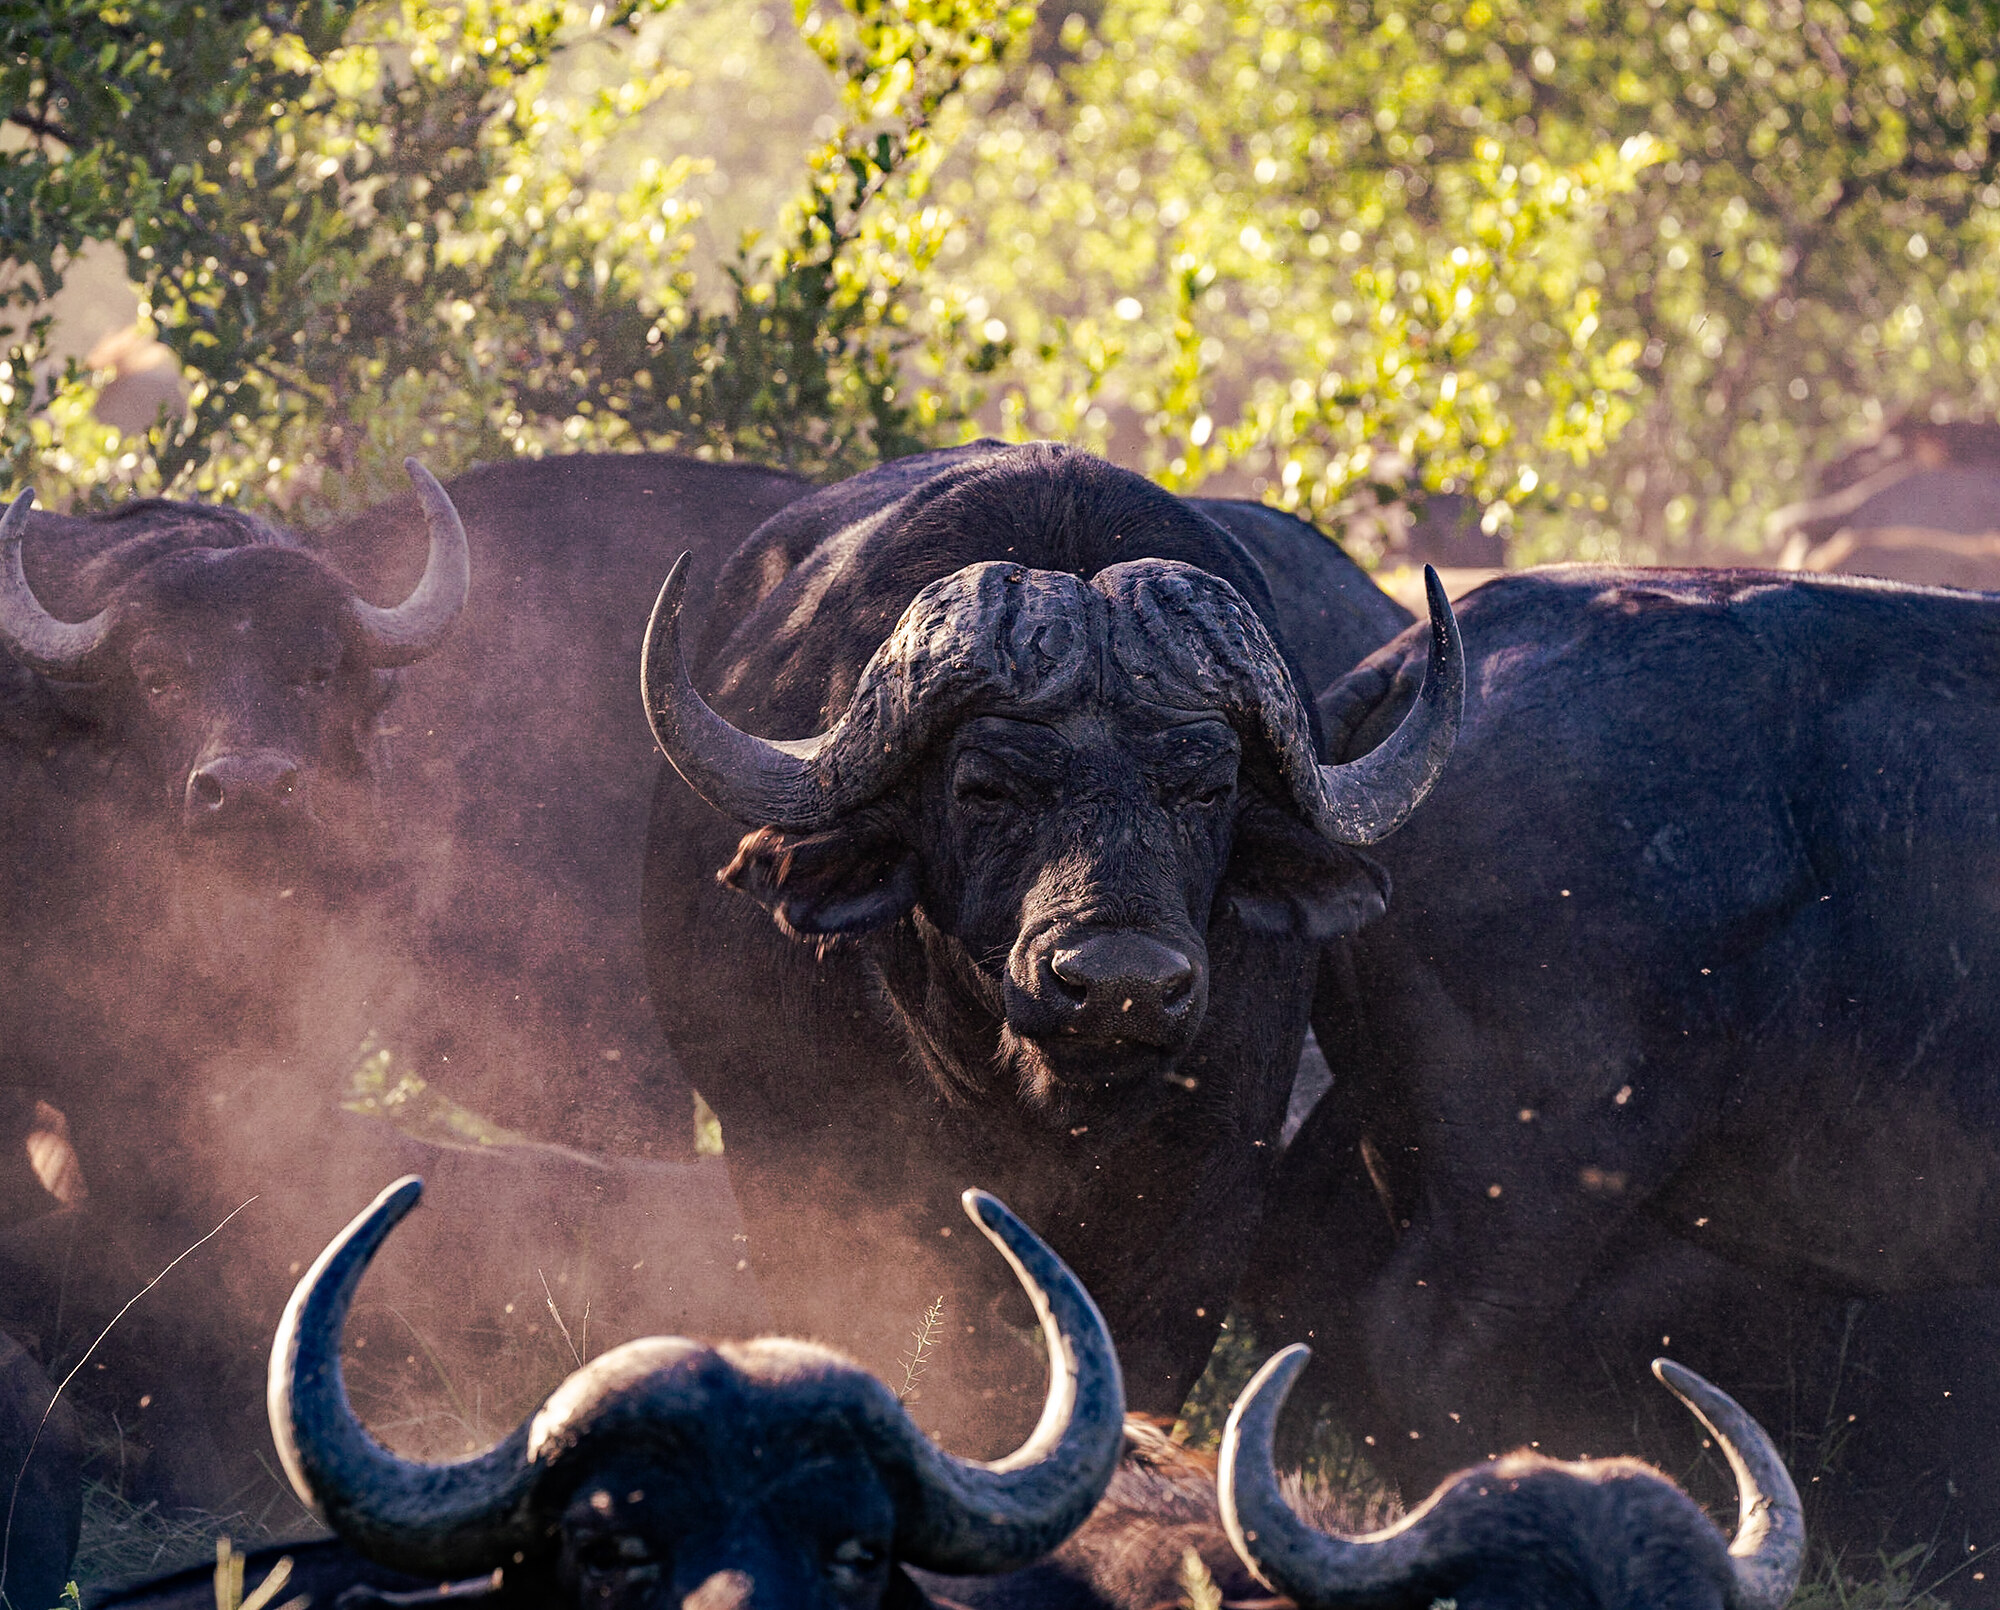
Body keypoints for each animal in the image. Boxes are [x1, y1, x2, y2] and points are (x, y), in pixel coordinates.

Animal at [639, 439, 1461, 1444]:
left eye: (1208, 788)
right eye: (985, 788)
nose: (1120, 984)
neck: (1041, 1107)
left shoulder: (1204, 1221)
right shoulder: (860, 1209)